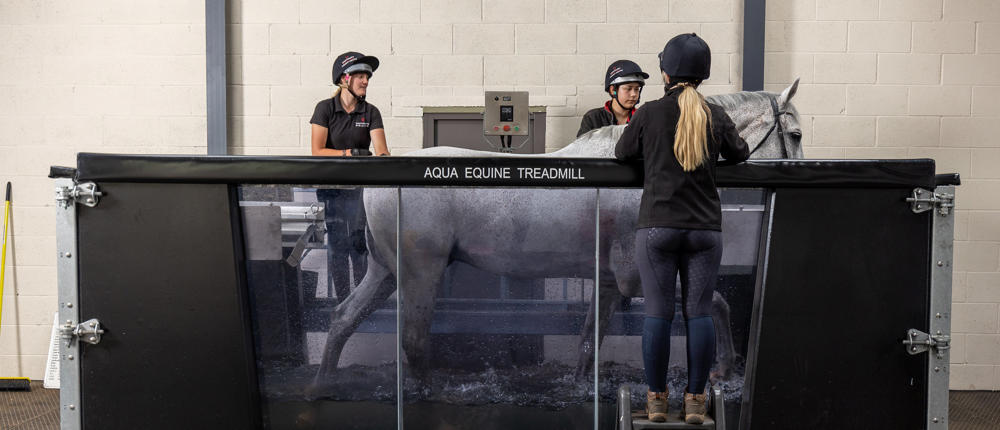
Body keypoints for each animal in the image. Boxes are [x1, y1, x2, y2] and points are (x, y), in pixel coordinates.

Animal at [313, 79, 802, 386]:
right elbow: (715, 301)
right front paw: (725, 367)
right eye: (795, 133)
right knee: (413, 340)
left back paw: (324, 384)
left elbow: (589, 342)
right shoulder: (640, 278)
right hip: (420, 274)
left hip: (386, 272)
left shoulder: (610, 283)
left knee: (342, 319)